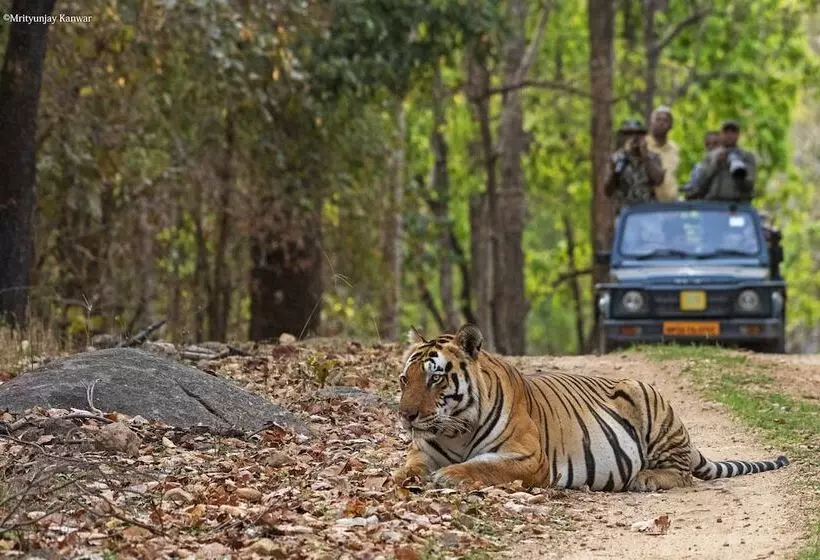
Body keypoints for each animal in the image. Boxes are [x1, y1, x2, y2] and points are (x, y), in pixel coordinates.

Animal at [394, 324, 789, 491]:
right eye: (404, 379)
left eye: (435, 378)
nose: (406, 415)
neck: (455, 430)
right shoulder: (423, 449)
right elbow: (408, 465)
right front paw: (400, 479)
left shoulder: (528, 458)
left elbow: (486, 467)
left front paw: (451, 475)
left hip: (648, 400)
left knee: (682, 473)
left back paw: (645, 479)